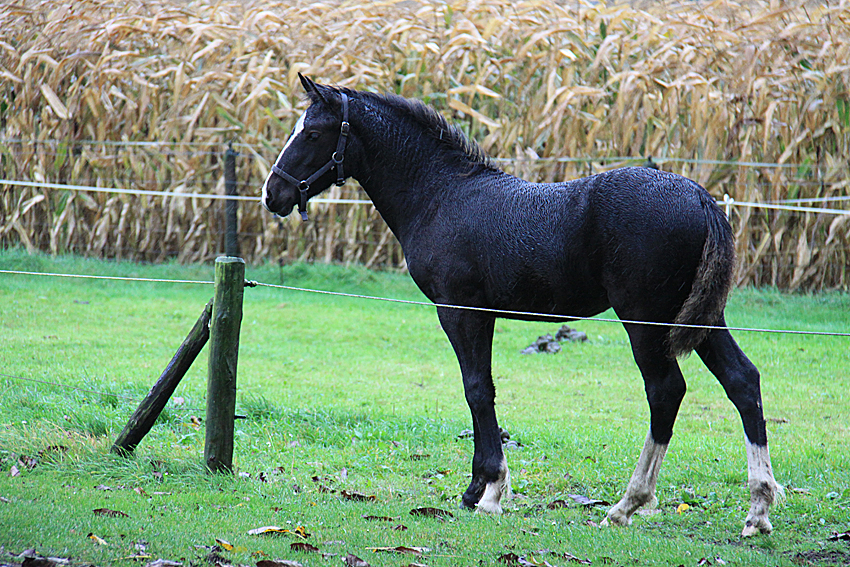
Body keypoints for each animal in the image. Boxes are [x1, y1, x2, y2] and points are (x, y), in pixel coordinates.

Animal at [261, 74, 781, 536]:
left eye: (312, 132)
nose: (273, 194)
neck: (441, 194)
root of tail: (701, 197)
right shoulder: (483, 314)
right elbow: (482, 389)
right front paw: (479, 487)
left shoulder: (459, 311)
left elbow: (476, 389)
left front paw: (488, 491)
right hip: (699, 318)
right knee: (742, 379)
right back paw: (757, 511)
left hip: (645, 319)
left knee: (666, 391)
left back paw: (626, 505)